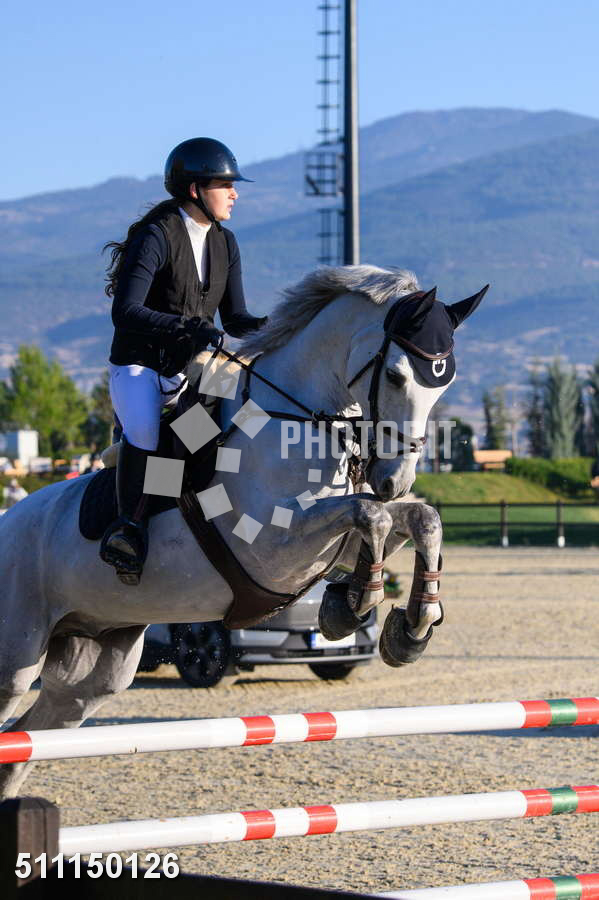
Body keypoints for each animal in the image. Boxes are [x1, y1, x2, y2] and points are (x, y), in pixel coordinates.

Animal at [0, 264, 486, 797]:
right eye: (397, 376)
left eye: (443, 386)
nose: (395, 480)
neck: (298, 419)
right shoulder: (271, 548)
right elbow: (372, 515)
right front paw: (355, 606)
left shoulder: (329, 543)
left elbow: (417, 519)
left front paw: (405, 625)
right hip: (16, 659)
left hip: (94, 667)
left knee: (30, 735)